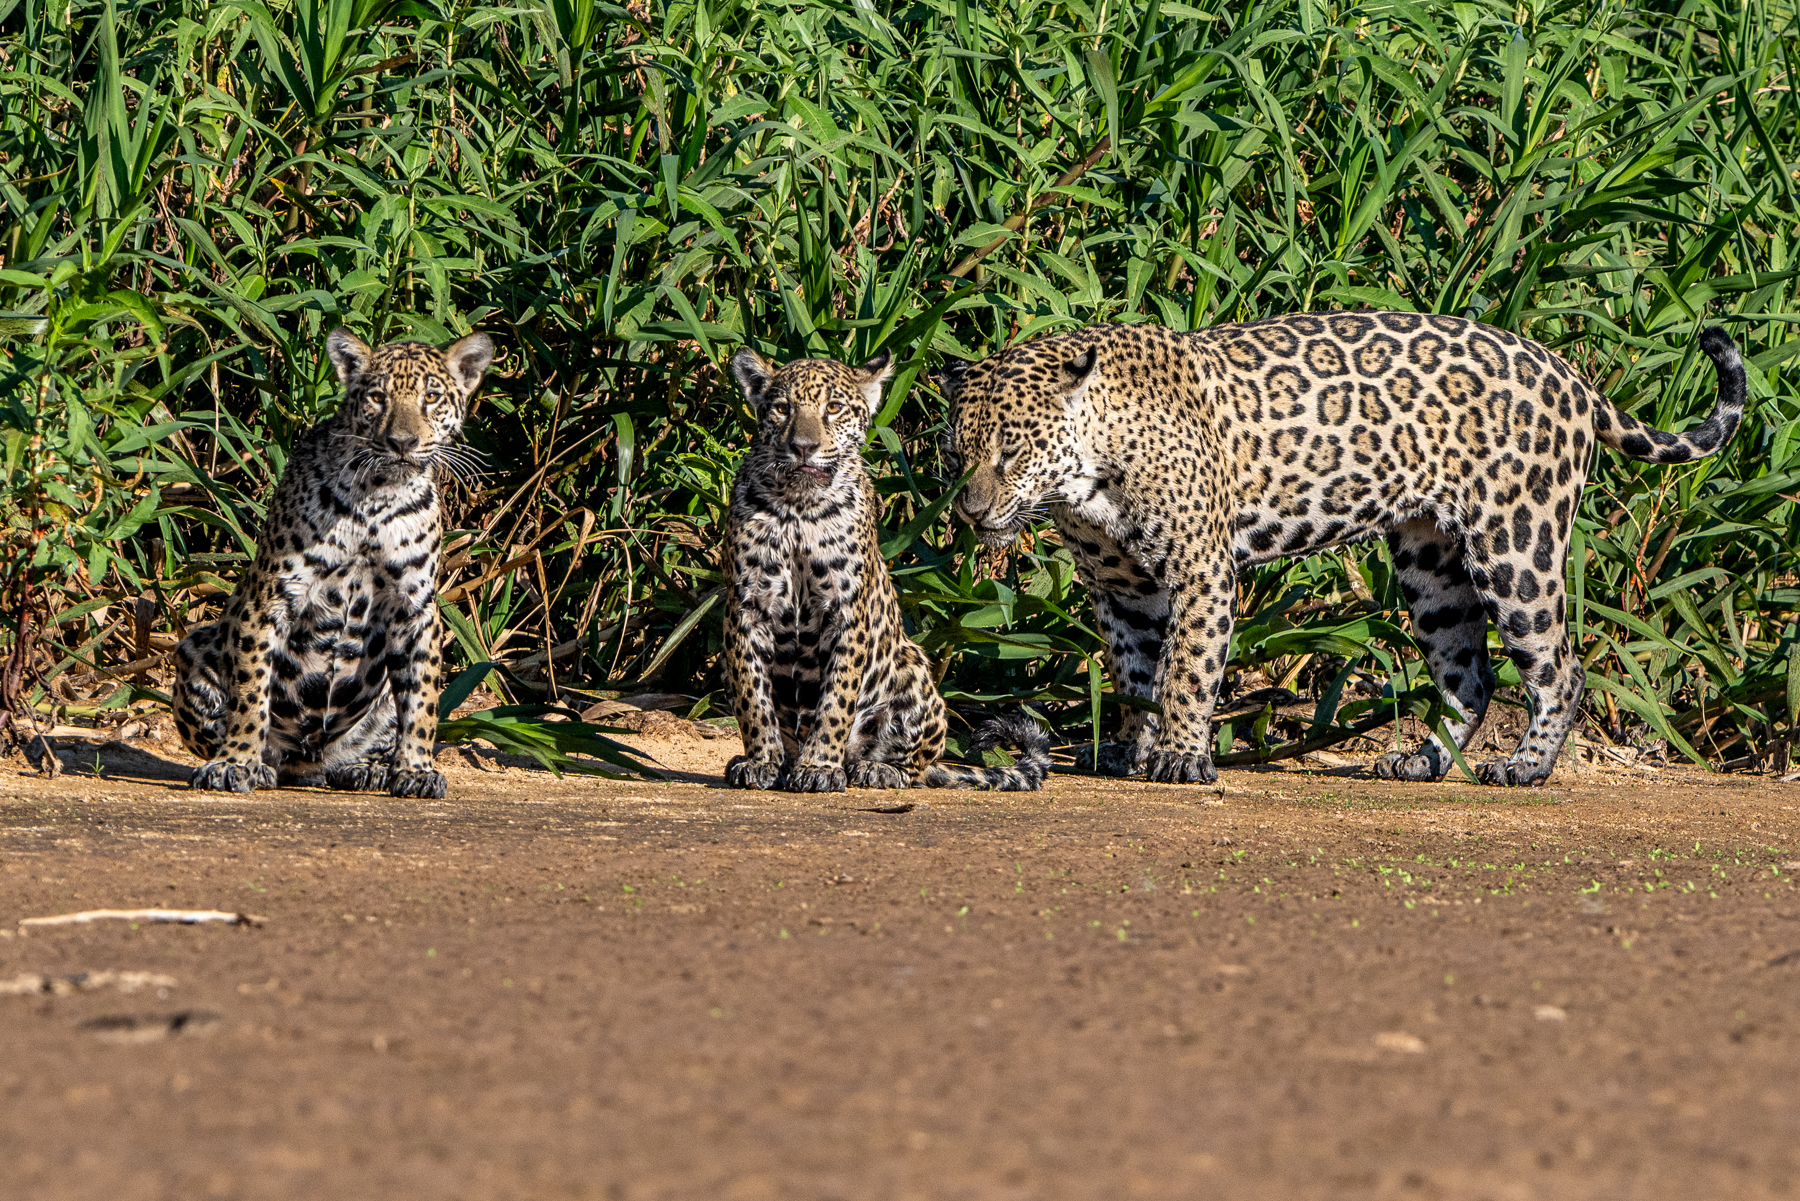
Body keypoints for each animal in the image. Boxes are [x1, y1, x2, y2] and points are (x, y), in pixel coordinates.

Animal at [173, 328, 495, 797]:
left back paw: (367, 769)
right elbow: (250, 695)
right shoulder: (270, 598)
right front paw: (235, 763)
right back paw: (262, 766)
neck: (380, 494)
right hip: (194, 645)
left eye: (431, 398)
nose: (403, 443)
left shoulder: (416, 609)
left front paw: (416, 769)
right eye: (378, 397)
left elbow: (422, 703)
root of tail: (308, 761)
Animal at [722, 346, 1050, 793]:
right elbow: (751, 695)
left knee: (915, 766)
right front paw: (761, 761)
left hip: (914, 672)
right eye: (782, 408)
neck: (799, 506)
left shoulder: (845, 611)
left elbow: (836, 701)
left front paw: (819, 766)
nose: (803, 447)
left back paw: (873, 769)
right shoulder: (747, 606)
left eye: (834, 408)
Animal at [938, 314, 1745, 788]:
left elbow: (1189, 669)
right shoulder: (1121, 587)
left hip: (1516, 543)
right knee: (1470, 673)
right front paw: (1130, 749)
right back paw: (1422, 760)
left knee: (1559, 666)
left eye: (1010, 450)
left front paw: (1181, 754)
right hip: (1431, 563)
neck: (1088, 479)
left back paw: (1524, 766)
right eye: (956, 451)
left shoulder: (1200, 568)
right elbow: (1135, 672)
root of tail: (1571, 374)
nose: (970, 509)